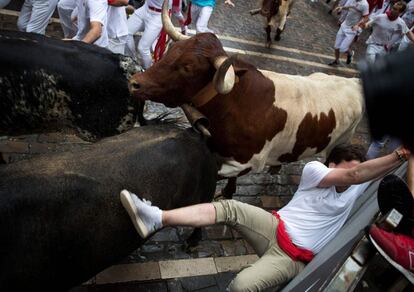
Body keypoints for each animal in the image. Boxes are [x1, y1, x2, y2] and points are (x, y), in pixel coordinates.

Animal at [128, 0, 364, 196]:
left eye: (188, 68)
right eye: (172, 49)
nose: (134, 82)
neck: (235, 105)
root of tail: (353, 82)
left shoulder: (248, 163)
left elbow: (221, 175)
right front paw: (229, 191)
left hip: (340, 143)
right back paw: (277, 166)